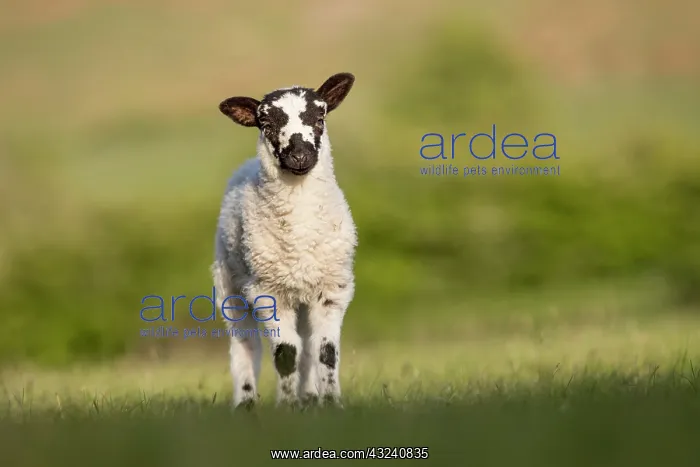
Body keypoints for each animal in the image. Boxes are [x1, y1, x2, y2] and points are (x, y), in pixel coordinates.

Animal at [211, 73, 357, 409]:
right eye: (265, 123)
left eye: (320, 117)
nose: (299, 156)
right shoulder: (268, 292)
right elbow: (285, 354)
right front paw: (288, 406)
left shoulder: (332, 290)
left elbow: (325, 352)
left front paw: (331, 404)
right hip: (229, 287)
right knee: (245, 345)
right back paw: (246, 403)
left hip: (302, 293)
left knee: (307, 345)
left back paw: (309, 396)